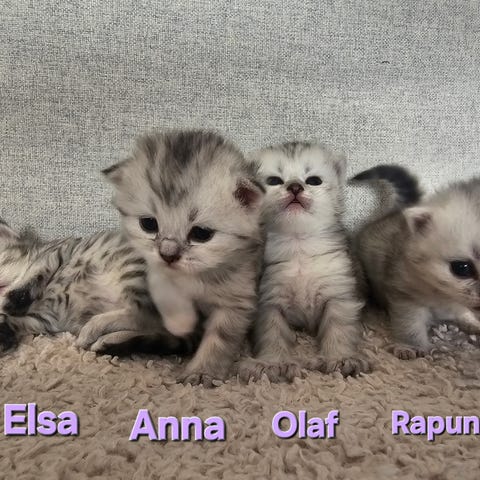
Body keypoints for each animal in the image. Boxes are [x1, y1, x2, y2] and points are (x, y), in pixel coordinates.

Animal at [0, 219, 194, 355]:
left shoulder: (55, 252)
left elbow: (35, 273)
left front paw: (14, 298)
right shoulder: (44, 319)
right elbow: (17, 322)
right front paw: (5, 332)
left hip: (133, 272)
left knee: (142, 315)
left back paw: (93, 329)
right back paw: (112, 344)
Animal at [102, 129, 265, 387]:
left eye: (201, 233)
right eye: (148, 224)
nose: (168, 254)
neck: (197, 275)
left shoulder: (237, 299)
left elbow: (219, 339)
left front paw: (202, 371)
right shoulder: (155, 267)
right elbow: (163, 283)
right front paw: (180, 321)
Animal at [239, 141, 370, 383]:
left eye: (313, 180)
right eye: (274, 180)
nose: (295, 187)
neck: (298, 246)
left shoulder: (339, 294)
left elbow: (339, 328)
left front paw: (340, 358)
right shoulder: (269, 302)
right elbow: (272, 334)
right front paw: (271, 363)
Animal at [352, 164, 480, 359]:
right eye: (462, 268)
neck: (444, 295)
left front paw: (471, 321)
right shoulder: (404, 293)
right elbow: (409, 324)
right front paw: (409, 346)